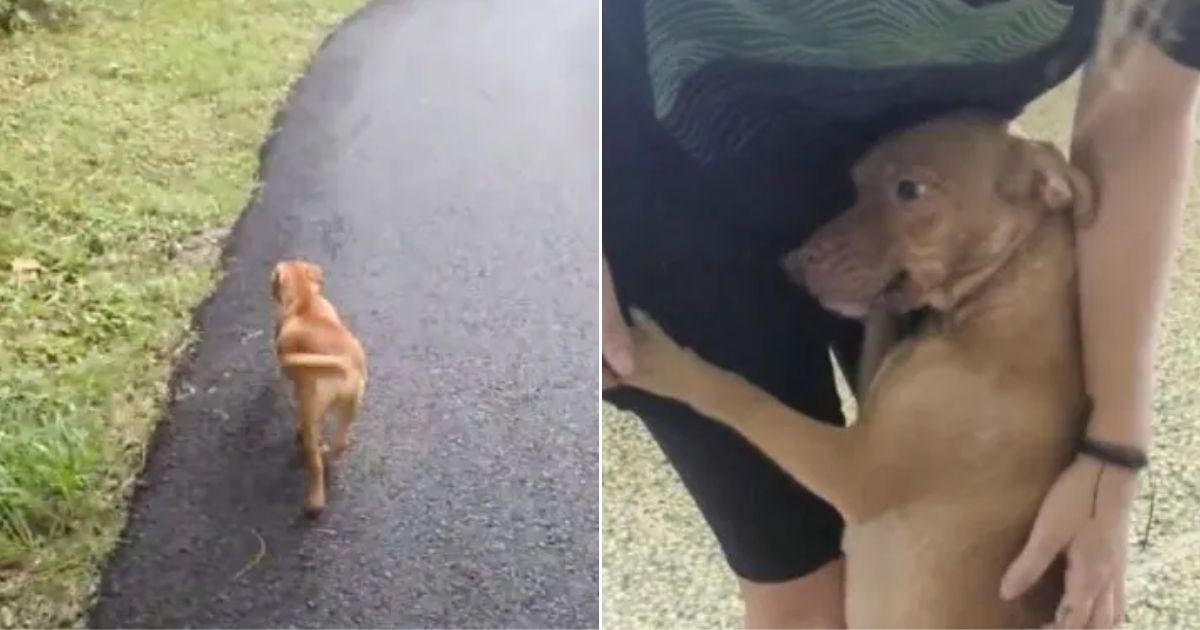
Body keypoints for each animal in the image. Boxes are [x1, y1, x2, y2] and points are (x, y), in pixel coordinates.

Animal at [272, 258, 364, 513]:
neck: (306, 302)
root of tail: (346, 366)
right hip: (350, 406)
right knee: (340, 443)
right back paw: (329, 457)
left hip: (311, 408)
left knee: (313, 458)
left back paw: (314, 501)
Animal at [619, 115, 1099, 624]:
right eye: (855, 182)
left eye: (908, 189)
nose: (790, 263)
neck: (993, 309)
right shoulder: (870, 399)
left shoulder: (853, 469)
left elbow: (747, 400)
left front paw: (661, 362)